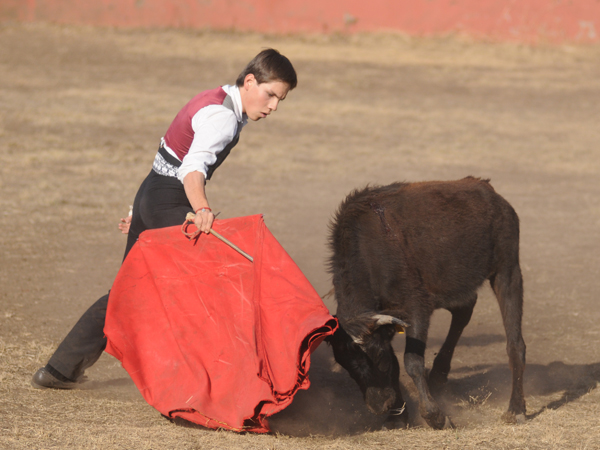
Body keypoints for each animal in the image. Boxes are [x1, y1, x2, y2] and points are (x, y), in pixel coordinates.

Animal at [328, 177, 524, 428]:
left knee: (515, 342)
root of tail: (487, 189)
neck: (370, 255)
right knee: (464, 311)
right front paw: (398, 416)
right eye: (344, 361)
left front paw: (435, 416)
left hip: (507, 271)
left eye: (377, 355)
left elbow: (411, 361)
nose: (378, 406)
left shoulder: (417, 310)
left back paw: (516, 408)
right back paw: (439, 376)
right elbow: (397, 363)